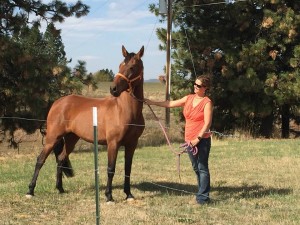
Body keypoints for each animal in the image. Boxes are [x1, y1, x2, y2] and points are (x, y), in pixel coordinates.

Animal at [26, 45, 146, 202]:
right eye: (120, 65)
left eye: (132, 67)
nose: (113, 89)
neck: (124, 110)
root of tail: (58, 102)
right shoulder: (113, 143)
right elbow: (111, 169)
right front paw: (109, 196)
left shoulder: (132, 144)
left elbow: (128, 169)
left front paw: (129, 194)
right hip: (52, 138)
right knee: (40, 160)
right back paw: (30, 190)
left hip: (71, 139)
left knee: (60, 159)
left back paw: (60, 189)